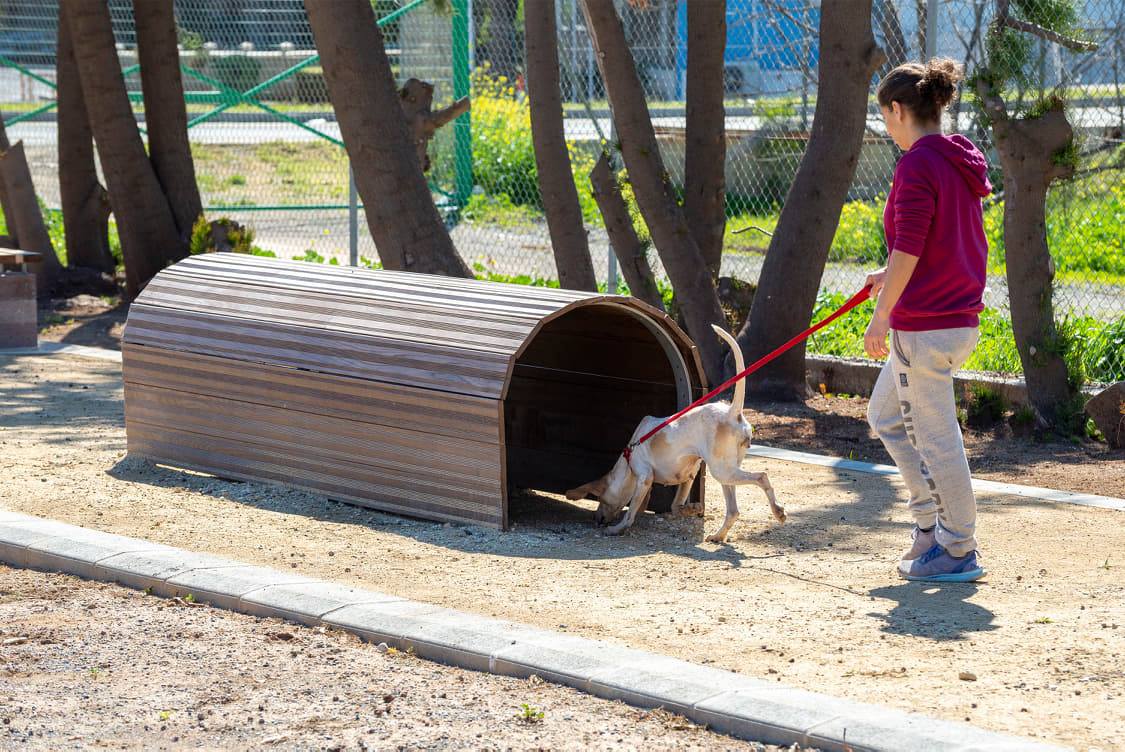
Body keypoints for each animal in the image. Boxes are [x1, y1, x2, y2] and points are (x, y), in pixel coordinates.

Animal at [567, 324, 787, 540]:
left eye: (601, 499)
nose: (597, 519)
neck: (629, 456)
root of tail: (732, 413)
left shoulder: (644, 477)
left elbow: (630, 514)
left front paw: (617, 529)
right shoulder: (688, 476)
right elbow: (674, 506)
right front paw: (691, 509)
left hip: (722, 471)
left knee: (762, 477)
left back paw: (777, 511)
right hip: (727, 472)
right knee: (733, 511)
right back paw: (718, 536)